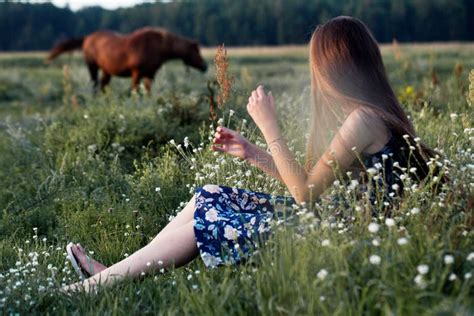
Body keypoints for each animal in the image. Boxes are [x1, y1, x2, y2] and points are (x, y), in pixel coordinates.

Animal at [47, 27, 207, 92]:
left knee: (103, 86)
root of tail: (87, 38)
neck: (158, 46)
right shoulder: (136, 73)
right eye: (196, 51)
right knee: (95, 84)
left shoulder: (150, 74)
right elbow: (135, 92)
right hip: (92, 66)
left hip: (106, 71)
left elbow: (148, 92)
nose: (205, 66)